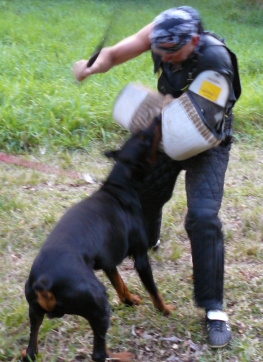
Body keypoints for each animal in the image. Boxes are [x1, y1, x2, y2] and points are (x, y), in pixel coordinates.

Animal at [22, 116, 173, 362]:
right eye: (144, 138)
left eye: (139, 133)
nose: (158, 117)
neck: (121, 187)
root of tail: (43, 283)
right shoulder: (141, 256)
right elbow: (153, 290)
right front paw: (165, 309)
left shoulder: (108, 262)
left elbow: (120, 284)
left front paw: (130, 300)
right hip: (98, 301)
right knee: (98, 353)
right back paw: (123, 356)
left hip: (35, 312)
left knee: (31, 351)